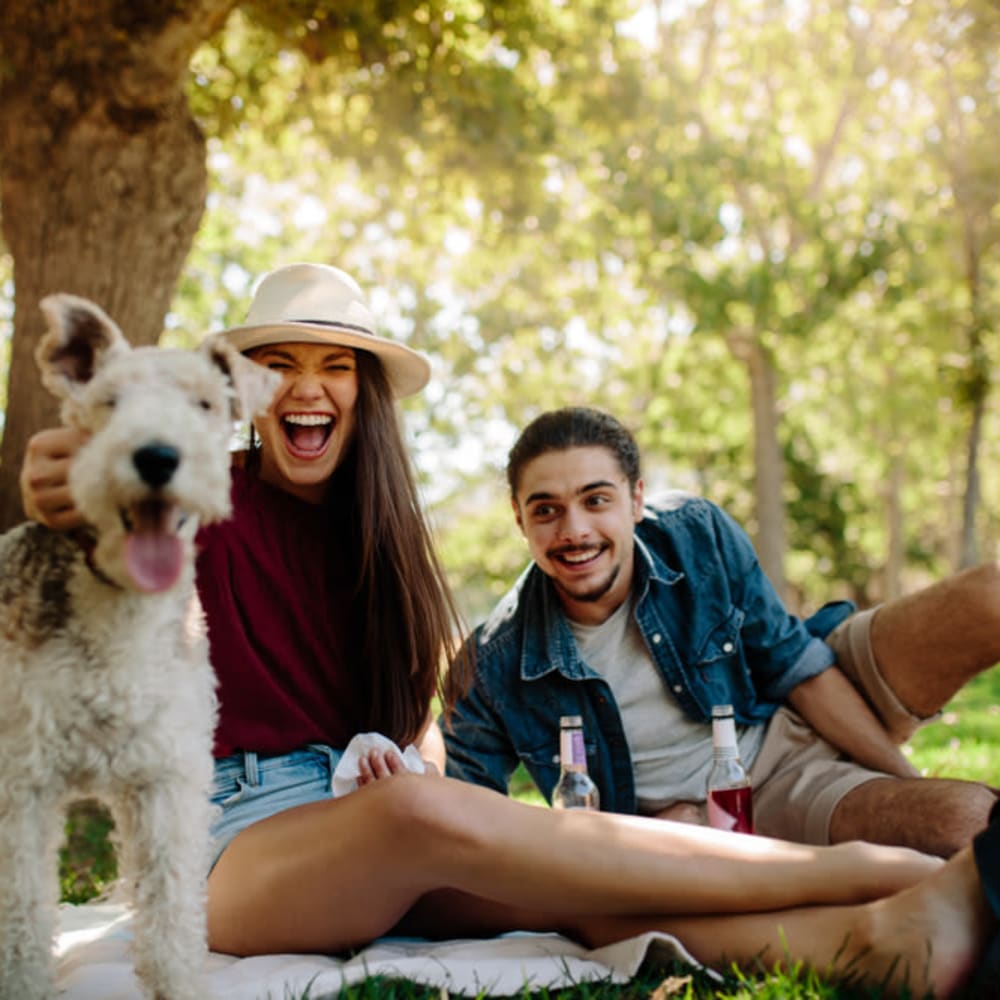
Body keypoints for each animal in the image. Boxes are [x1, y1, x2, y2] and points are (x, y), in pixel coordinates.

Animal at [0, 296, 280, 1000]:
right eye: (109, 401)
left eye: (205, 403)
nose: (157, 457)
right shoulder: (23, 786)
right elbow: (22, 920)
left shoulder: (164, 782)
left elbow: (171, 919)